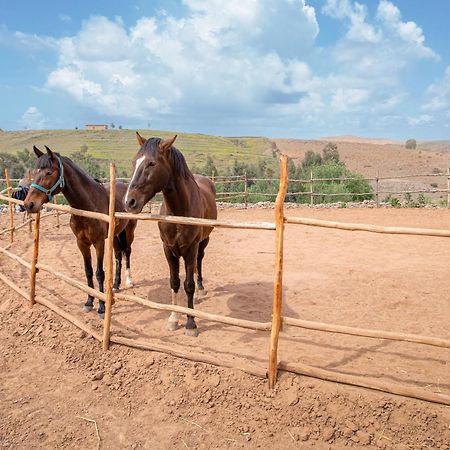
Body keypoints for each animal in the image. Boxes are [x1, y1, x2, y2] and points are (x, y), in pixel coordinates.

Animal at [23, 146, 136, 318]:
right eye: (35, 172)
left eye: (49, 172)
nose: (29, 204)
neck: (88, 205)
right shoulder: (82, 243)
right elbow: (88, 271)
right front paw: (89, 302)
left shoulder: (98, 243)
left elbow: (99, 273)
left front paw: (102, 307)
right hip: (116, 234)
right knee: (118, 255)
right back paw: (116, 285)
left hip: (129, 231)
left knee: (127, 252)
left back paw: (129, 281)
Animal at [124, 132, 217, 336]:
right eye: (135, 161)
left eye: (151, 163)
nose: (129, 202)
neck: (178, 211)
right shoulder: (168, 249)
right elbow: (174, 282)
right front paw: (174, 318)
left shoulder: (190, 249)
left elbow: (188, 285)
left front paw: (191, 323)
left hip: (203, 241)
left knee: (199, 262)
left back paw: (200, 290)